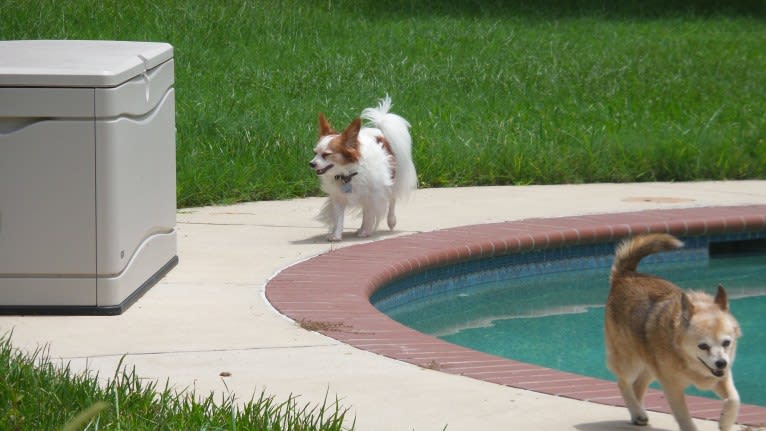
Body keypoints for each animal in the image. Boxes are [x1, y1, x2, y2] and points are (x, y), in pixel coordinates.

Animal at [310, 96, 420, 241]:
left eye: (326, 155)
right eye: (315, 153)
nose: (311, 164)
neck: (348, 173)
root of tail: (379, 132)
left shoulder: (372, 196)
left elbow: (369, 215)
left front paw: (366, 231)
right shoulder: (339, 198)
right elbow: (339, 218)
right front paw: (336, 235)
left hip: (390, 183)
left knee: (391, 200)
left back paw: (390, 221)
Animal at [608, 235, 740, 431]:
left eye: (726, 343)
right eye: (703, 346)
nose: (722, 363)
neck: (684, 357)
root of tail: (626, 275)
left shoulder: (721, 376)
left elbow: (733, 399)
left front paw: (725, 421)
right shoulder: (672, 388)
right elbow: (684, 416)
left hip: (650, 363)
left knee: (637, 385)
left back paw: (637, 413)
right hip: (628, 361)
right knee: (623, 382)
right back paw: (637, 411)